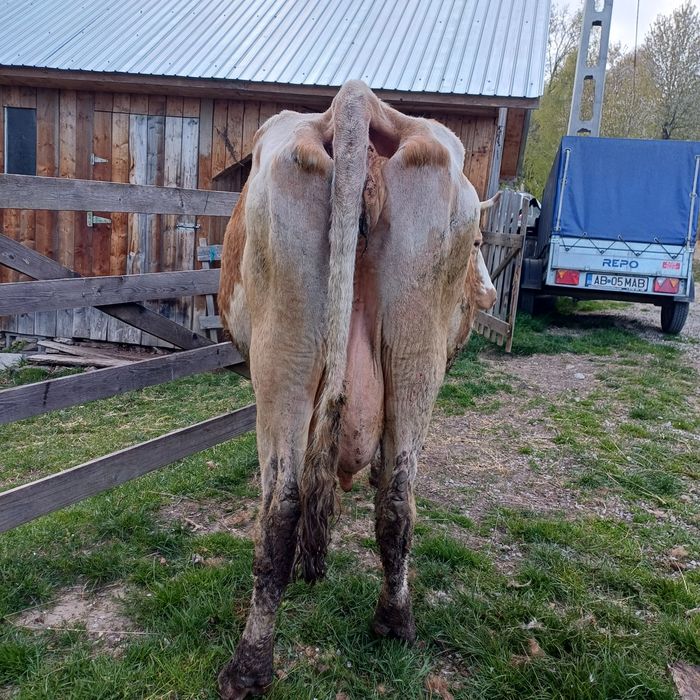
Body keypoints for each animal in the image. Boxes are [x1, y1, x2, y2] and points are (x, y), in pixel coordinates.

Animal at [217, 80, 497, 699]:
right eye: (482, 244)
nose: (489, 295)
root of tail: (358, 102)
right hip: (416, 356)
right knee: (397, 497)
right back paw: (394, 622)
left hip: (283, 360)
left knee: (282, 506)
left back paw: (249, 666)